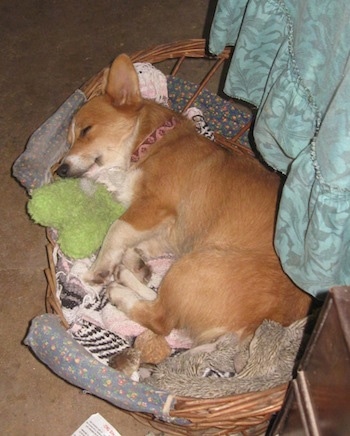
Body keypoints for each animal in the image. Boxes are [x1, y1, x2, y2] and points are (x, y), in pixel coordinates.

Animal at [57, 53, 312, 348]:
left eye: (86, 130)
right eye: (69, 140)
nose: (60, 170)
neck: (149, 143)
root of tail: (248, 332)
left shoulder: (155, 207)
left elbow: (116, 230)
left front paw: (99, 269)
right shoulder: (164, 228)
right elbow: (135, 243)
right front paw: (136, 262)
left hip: (193, 265)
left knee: (162, 318)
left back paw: (119, 292)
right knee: (160, 302)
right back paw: (127, 277)